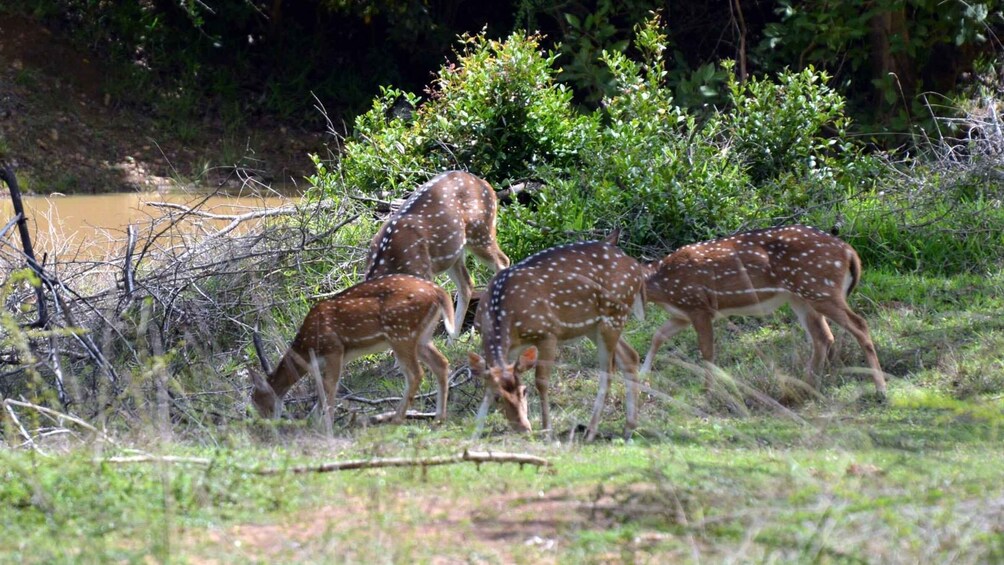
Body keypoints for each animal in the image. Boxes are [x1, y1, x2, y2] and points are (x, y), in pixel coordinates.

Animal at [248, 274, 457, 425]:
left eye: (258, 400)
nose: (264, 425)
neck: (307, 347)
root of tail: (439, 291)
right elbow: (321, 389)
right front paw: (313, 422)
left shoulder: (334, 349)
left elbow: (330, 387)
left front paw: (327, 425)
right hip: (422, 337)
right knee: (441, 363)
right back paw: (439, 418)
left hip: (401, 333)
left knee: (415, 373)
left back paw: (396, 419)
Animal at [363, 170, 510, 333]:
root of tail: (486, 184)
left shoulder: (423, 272)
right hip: (453, 253)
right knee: (467, 284)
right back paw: (453, 336)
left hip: (481, 231)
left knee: (503, 261)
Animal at [467, 230, 646, 441]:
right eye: (498, 397)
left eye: (524, 391)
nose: (525, 428)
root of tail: (636, 266)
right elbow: (487, 385)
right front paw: (473, 436)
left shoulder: (547, 333)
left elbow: (541, 381)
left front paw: (547, 432)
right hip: (594, 326)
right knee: (630, 356)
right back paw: (628, 428)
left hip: (614, 314)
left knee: (608, 371)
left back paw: (591, 432)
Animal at [642, 225, 887, 397]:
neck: (661, 284)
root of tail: (850, 252)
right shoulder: (682, 314)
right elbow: (657, 335)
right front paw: (643, 377)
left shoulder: (698, 306)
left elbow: (707, 351)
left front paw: (708, 392)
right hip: (802, 296)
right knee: (823, 337)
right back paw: (806, 388)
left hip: (820, 289)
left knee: (859, 325)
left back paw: (880, 389)